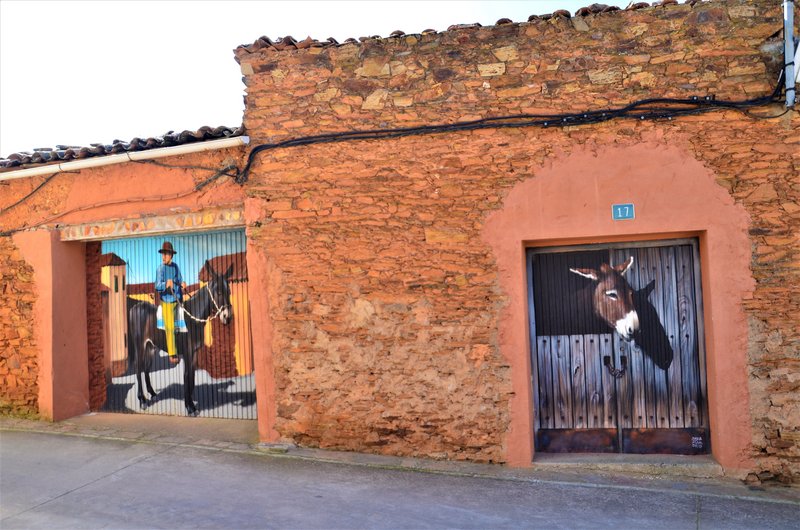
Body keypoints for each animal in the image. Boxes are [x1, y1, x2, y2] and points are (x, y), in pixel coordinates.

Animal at [128, 262, 233, 414]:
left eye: (229, 291)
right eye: (218, 292)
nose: (227, 317)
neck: (193, 318)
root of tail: (135, 308)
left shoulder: (195, 353)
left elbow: (192, 377)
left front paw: (191, 404)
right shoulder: (187, 353)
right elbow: (187, 375)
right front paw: (189, 407)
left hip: (151, 347)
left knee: (146, 368)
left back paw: (152, 393)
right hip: (140, 346)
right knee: (138, 368)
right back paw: (142, 400)